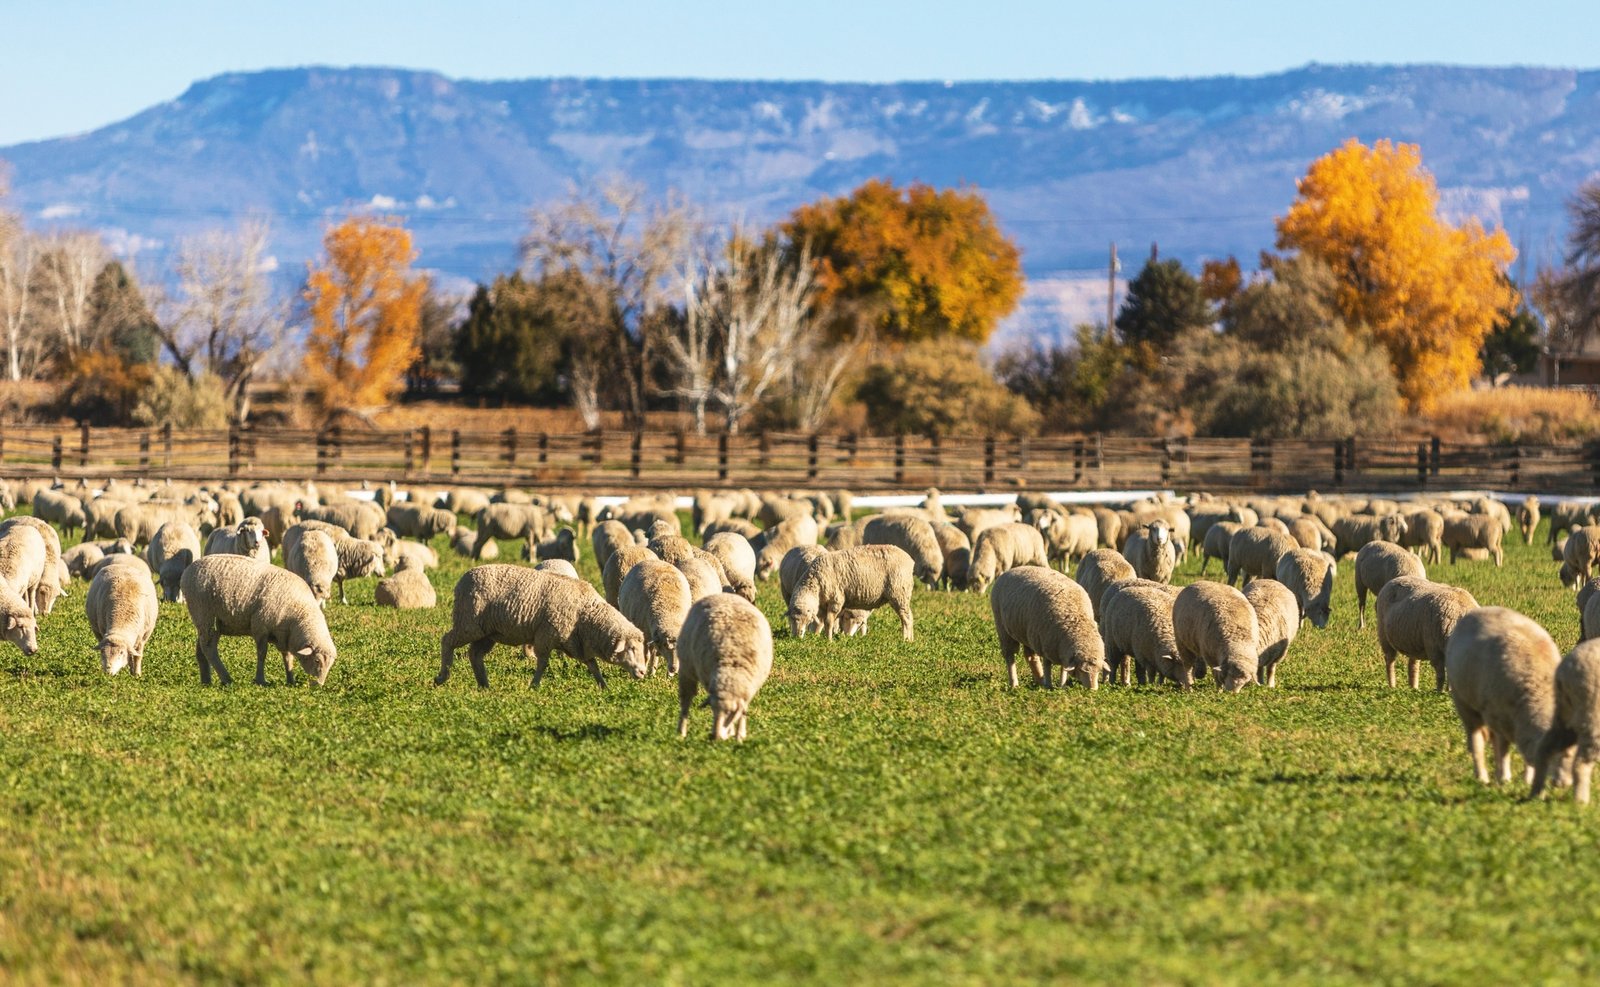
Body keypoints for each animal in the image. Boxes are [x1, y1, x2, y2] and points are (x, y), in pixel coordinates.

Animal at [180, 554, 338, 686]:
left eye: (330, 664)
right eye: (317, 660)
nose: (318, 685)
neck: (298, 613)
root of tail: (187, 571)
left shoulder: (284, 636)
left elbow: (288, 658)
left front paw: (290, 680)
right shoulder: (261, 627)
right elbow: (262, 654)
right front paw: (260, 680)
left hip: (208, 621)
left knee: (202, 649)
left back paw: (206, 681)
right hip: (205, 614)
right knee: (209, 648)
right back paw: (226, 679)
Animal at [436, 564, 647, 690]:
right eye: (631, 648)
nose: (643, 672)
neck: (587, 615)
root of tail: (464, 577)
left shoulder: (577, 643)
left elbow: (593, 665)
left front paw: (604, 687)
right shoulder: (546, 636)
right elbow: (543, 663)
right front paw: (534, 686)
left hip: (488, 633)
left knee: (475, 654)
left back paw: (484, 685)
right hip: (468, 623)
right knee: (447, 641)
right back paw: (442, 677)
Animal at [675, 593, 774, 741]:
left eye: (730, 712)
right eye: (712, 710)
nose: (714, 737)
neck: (732, 668)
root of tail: (724, 594)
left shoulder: (746, 693)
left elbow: (742, 713)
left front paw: (739, 735)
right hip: (687, 668)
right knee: (686, 701)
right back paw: (681, 732)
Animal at [1444, 607, 1561, 787]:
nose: (1561, 784)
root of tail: (1484, 609)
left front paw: (1526, 779)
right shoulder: (1499, 718)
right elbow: (1504, 749)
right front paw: (1505, 778)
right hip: (1465, 704)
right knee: (1477, 742)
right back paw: (1482, 777)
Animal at [1531, 640, 1600, 804]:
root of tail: (1565, 670)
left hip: (1565, 716)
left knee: (1544, 748)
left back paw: (1536, 794)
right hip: (1591, 714)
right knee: (1580, 764)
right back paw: (1581, 803)